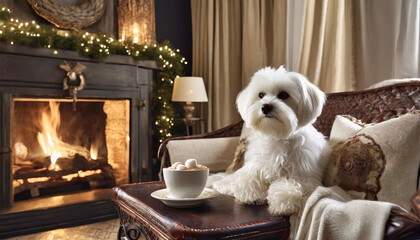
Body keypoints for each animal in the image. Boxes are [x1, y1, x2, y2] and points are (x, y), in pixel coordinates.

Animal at [215, 66, 330, 216]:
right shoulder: (257, 163)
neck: (277, 137)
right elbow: (249, 176)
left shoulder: (305, 176)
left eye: (284, 95)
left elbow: (291, 184)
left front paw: (281, 203)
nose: (266, 107)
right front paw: (252, 195)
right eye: (261, 95)